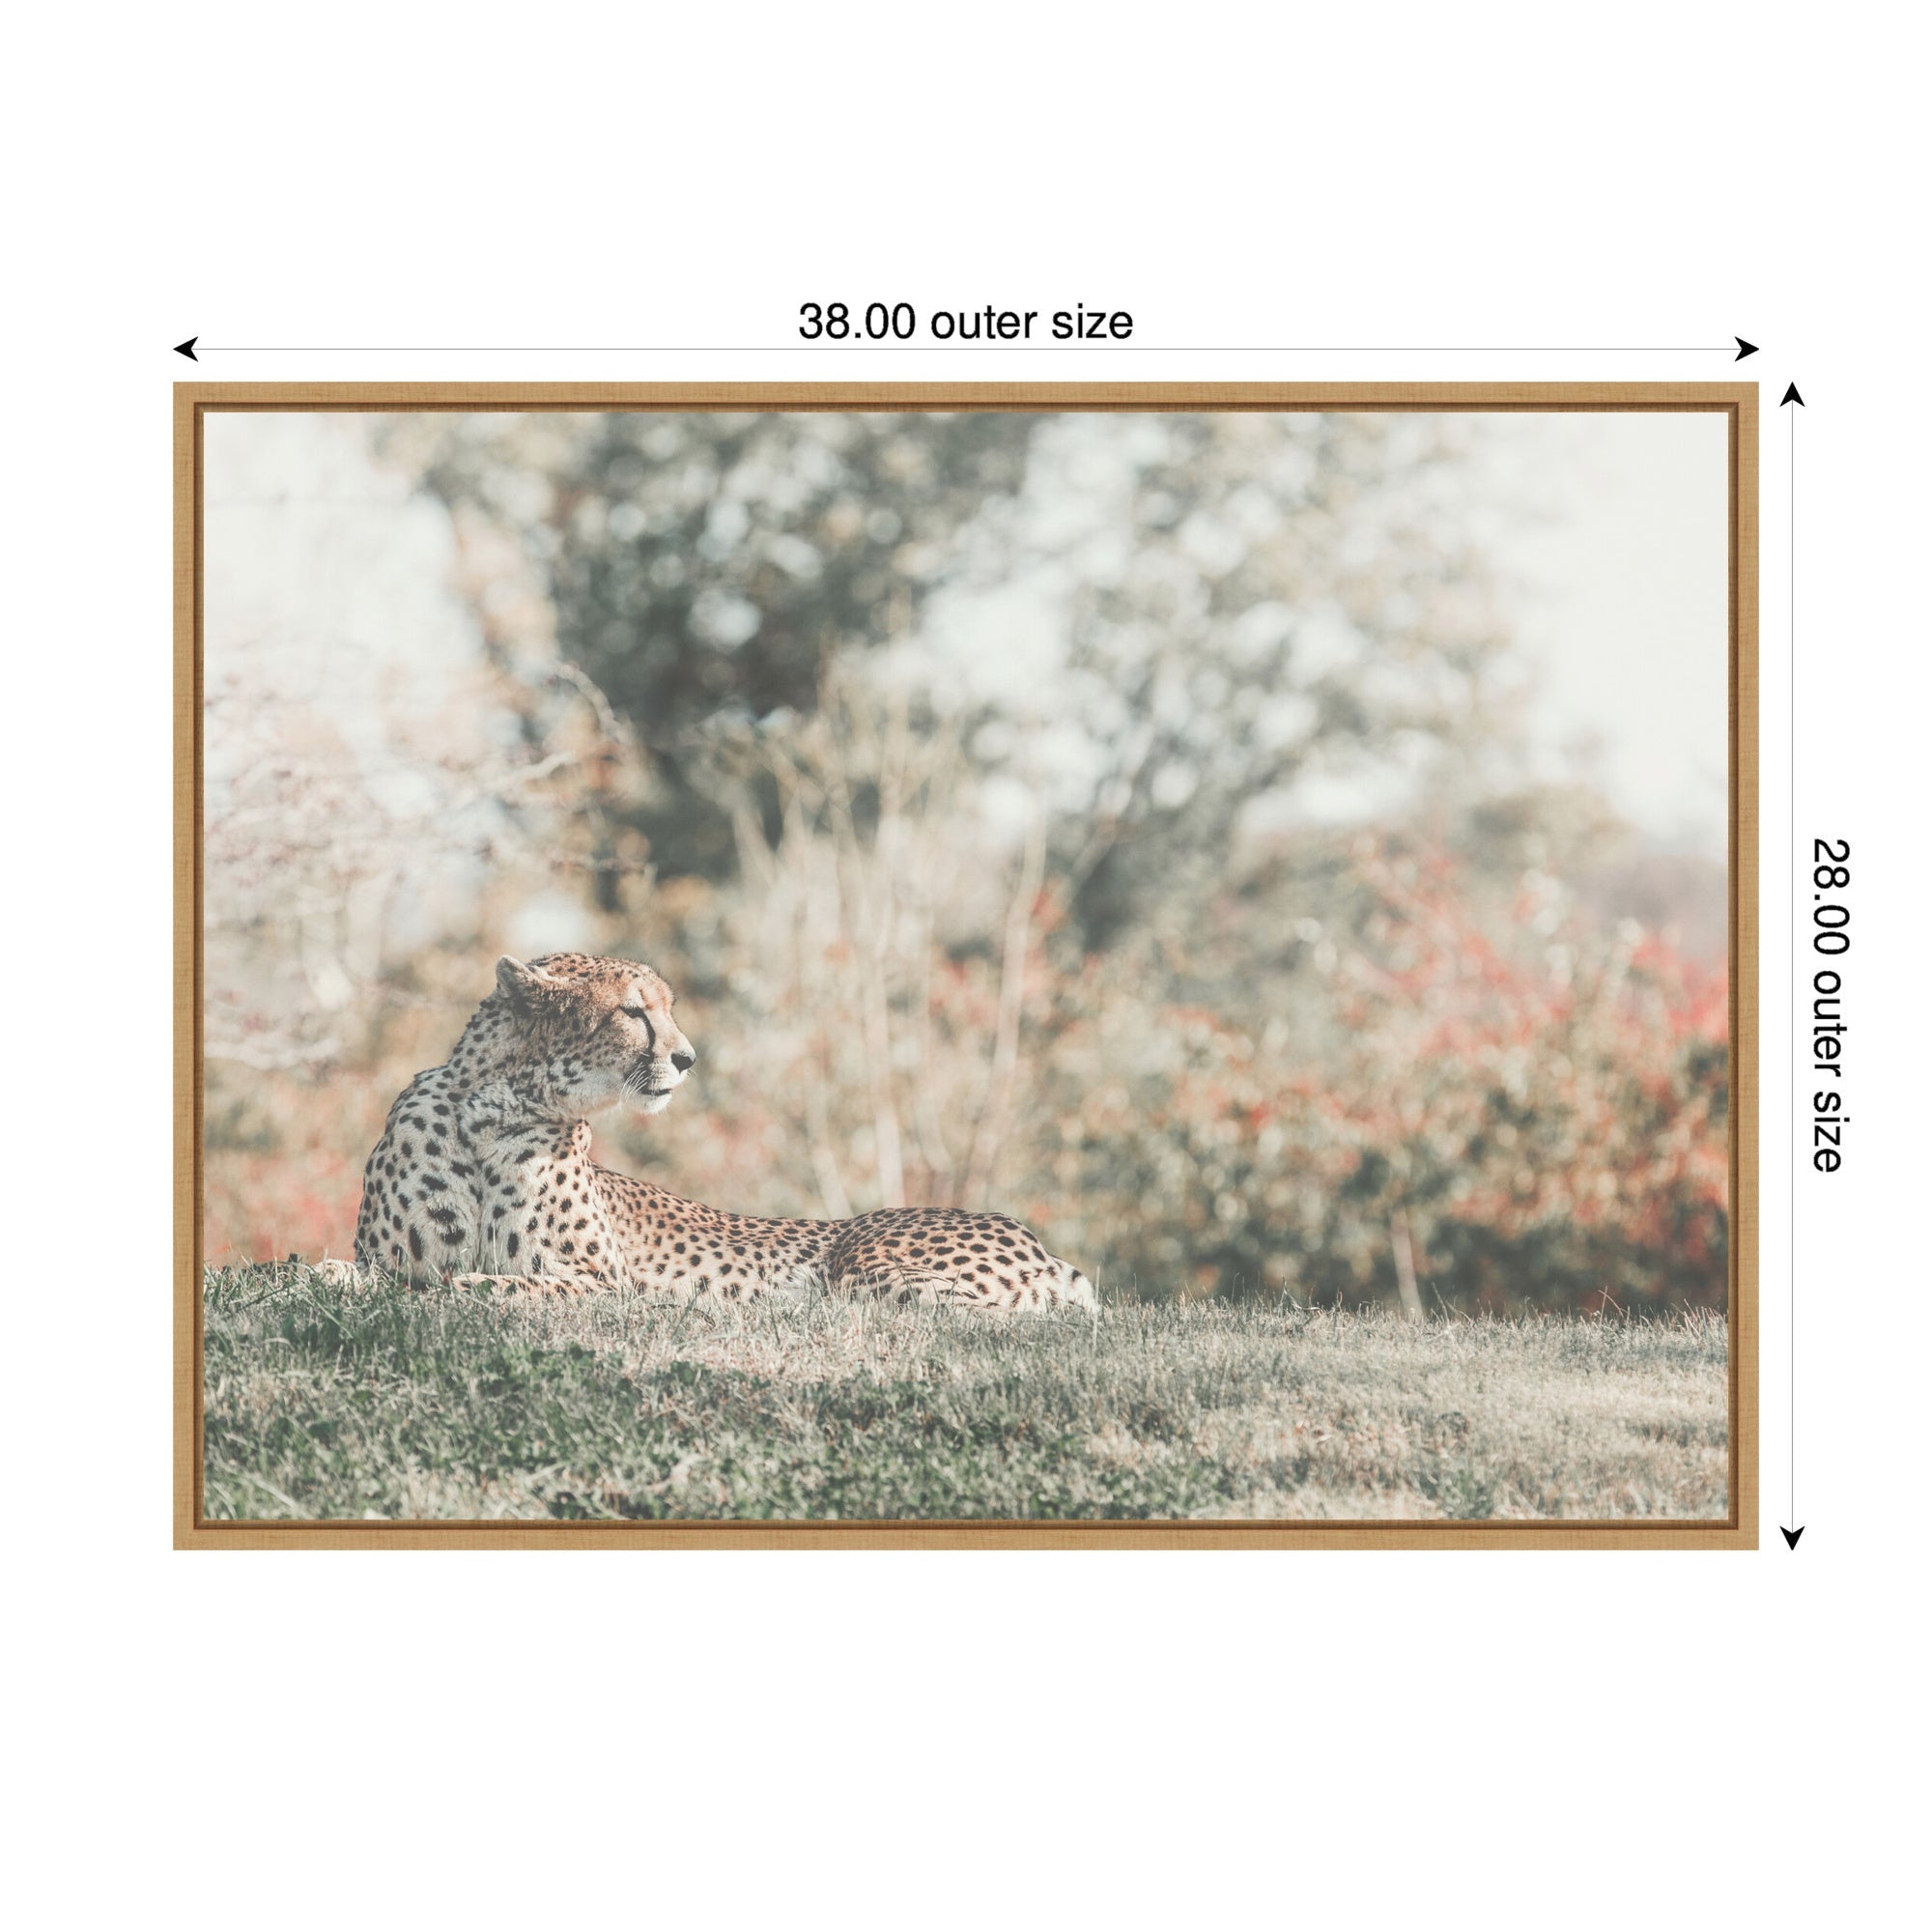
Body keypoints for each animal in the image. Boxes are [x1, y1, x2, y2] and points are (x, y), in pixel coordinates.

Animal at [350, 951, 1098, 1312]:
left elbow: (485, 1285)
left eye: (667, 1009)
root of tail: (1039, 1242)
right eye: (634, 1012)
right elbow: (371, 1276)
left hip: (865, 1265)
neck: (494, 1109)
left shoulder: (604, 1285)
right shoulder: (384, 1260)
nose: (688, 1058)